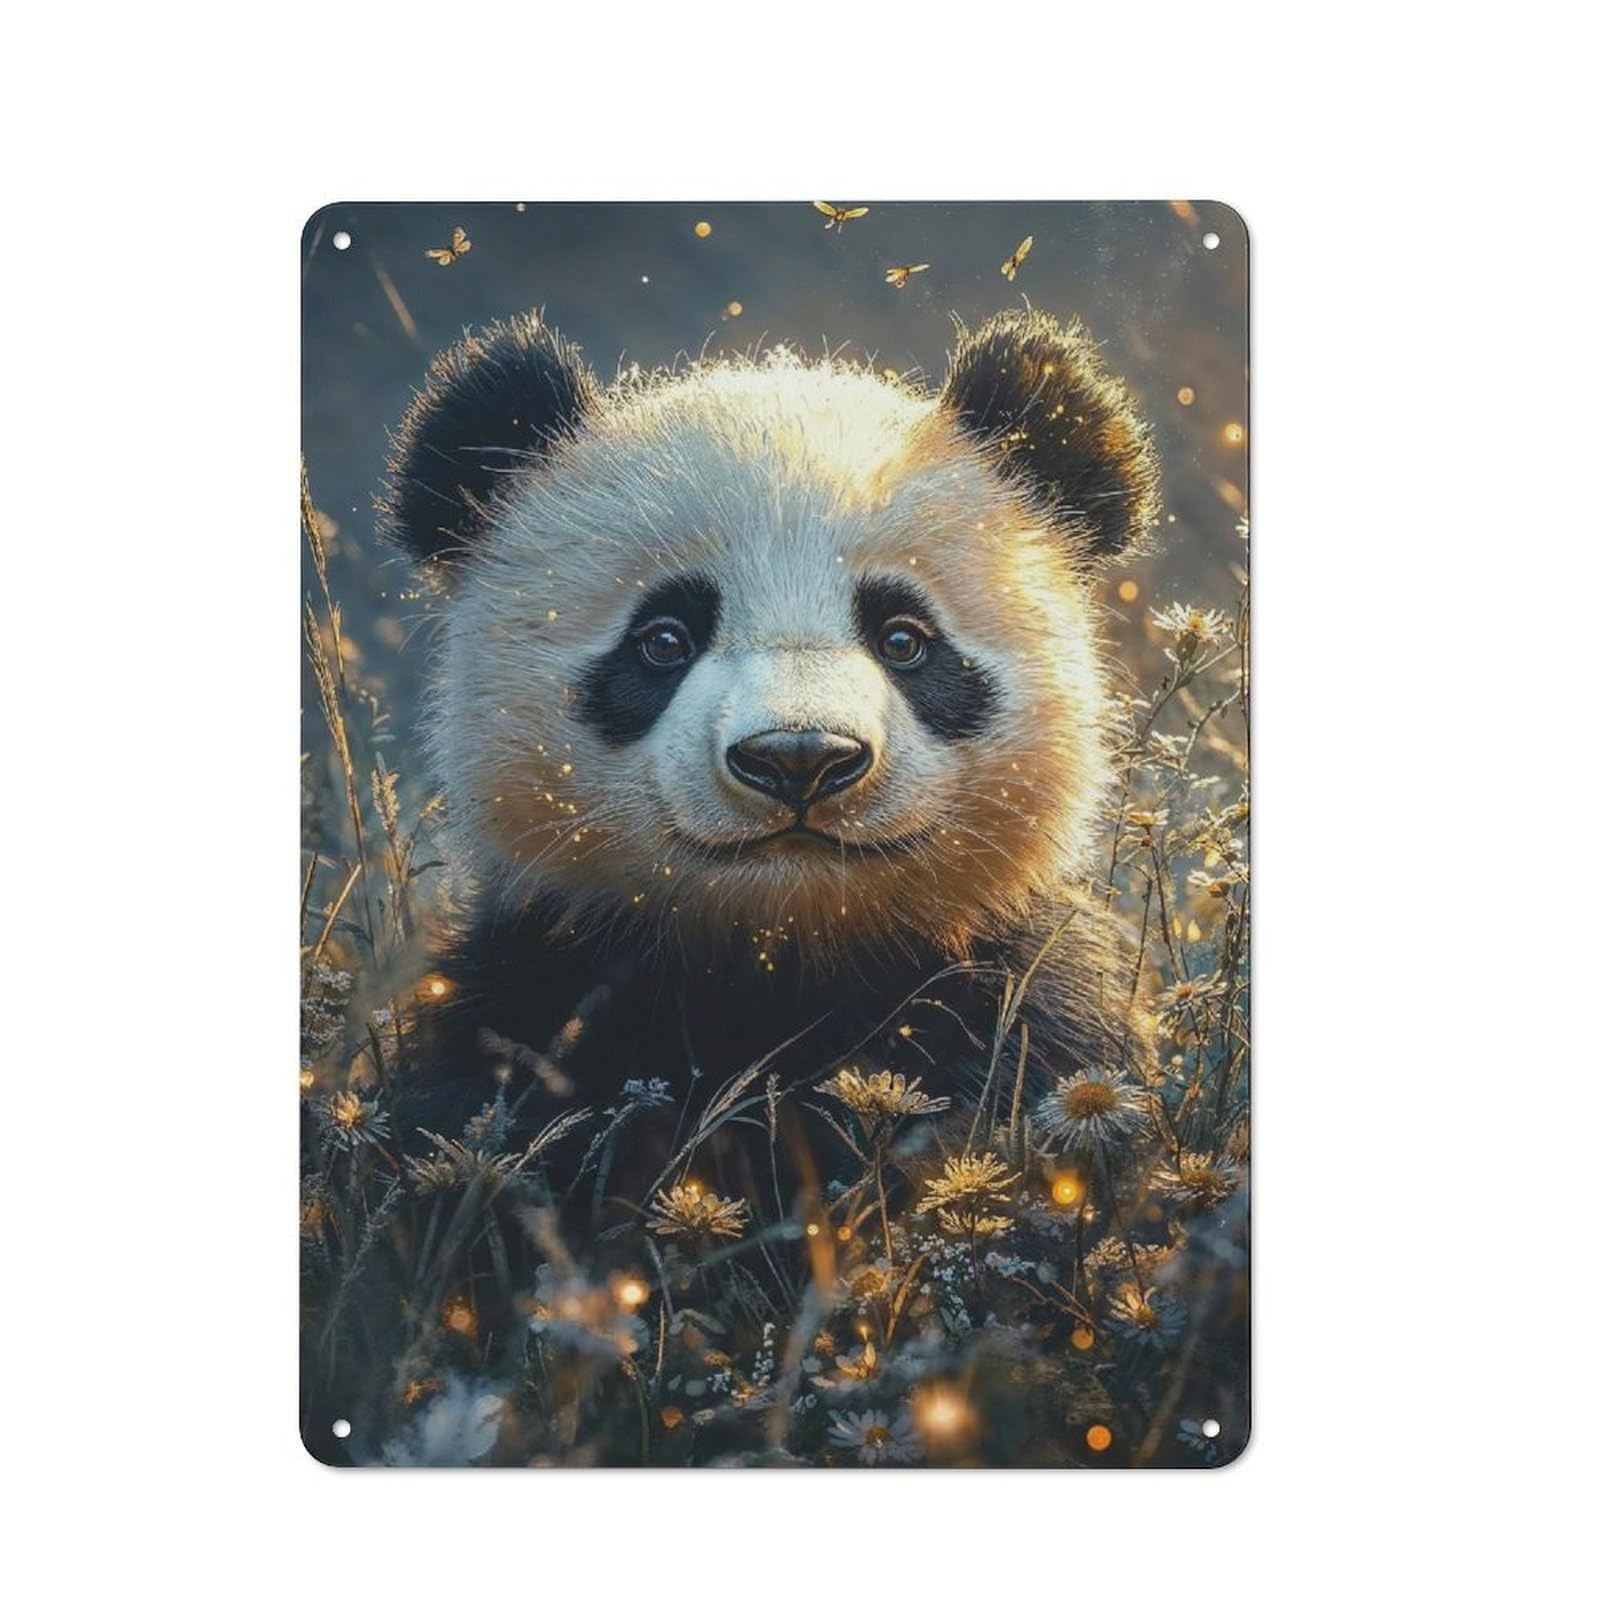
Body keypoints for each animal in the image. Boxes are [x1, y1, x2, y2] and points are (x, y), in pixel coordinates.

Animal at [383, 307, 1160, 1211]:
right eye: (664, 640)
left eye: (904, 639)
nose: (799, 756)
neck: (782, 963)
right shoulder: (528, 1009)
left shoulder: (1021, 1008)